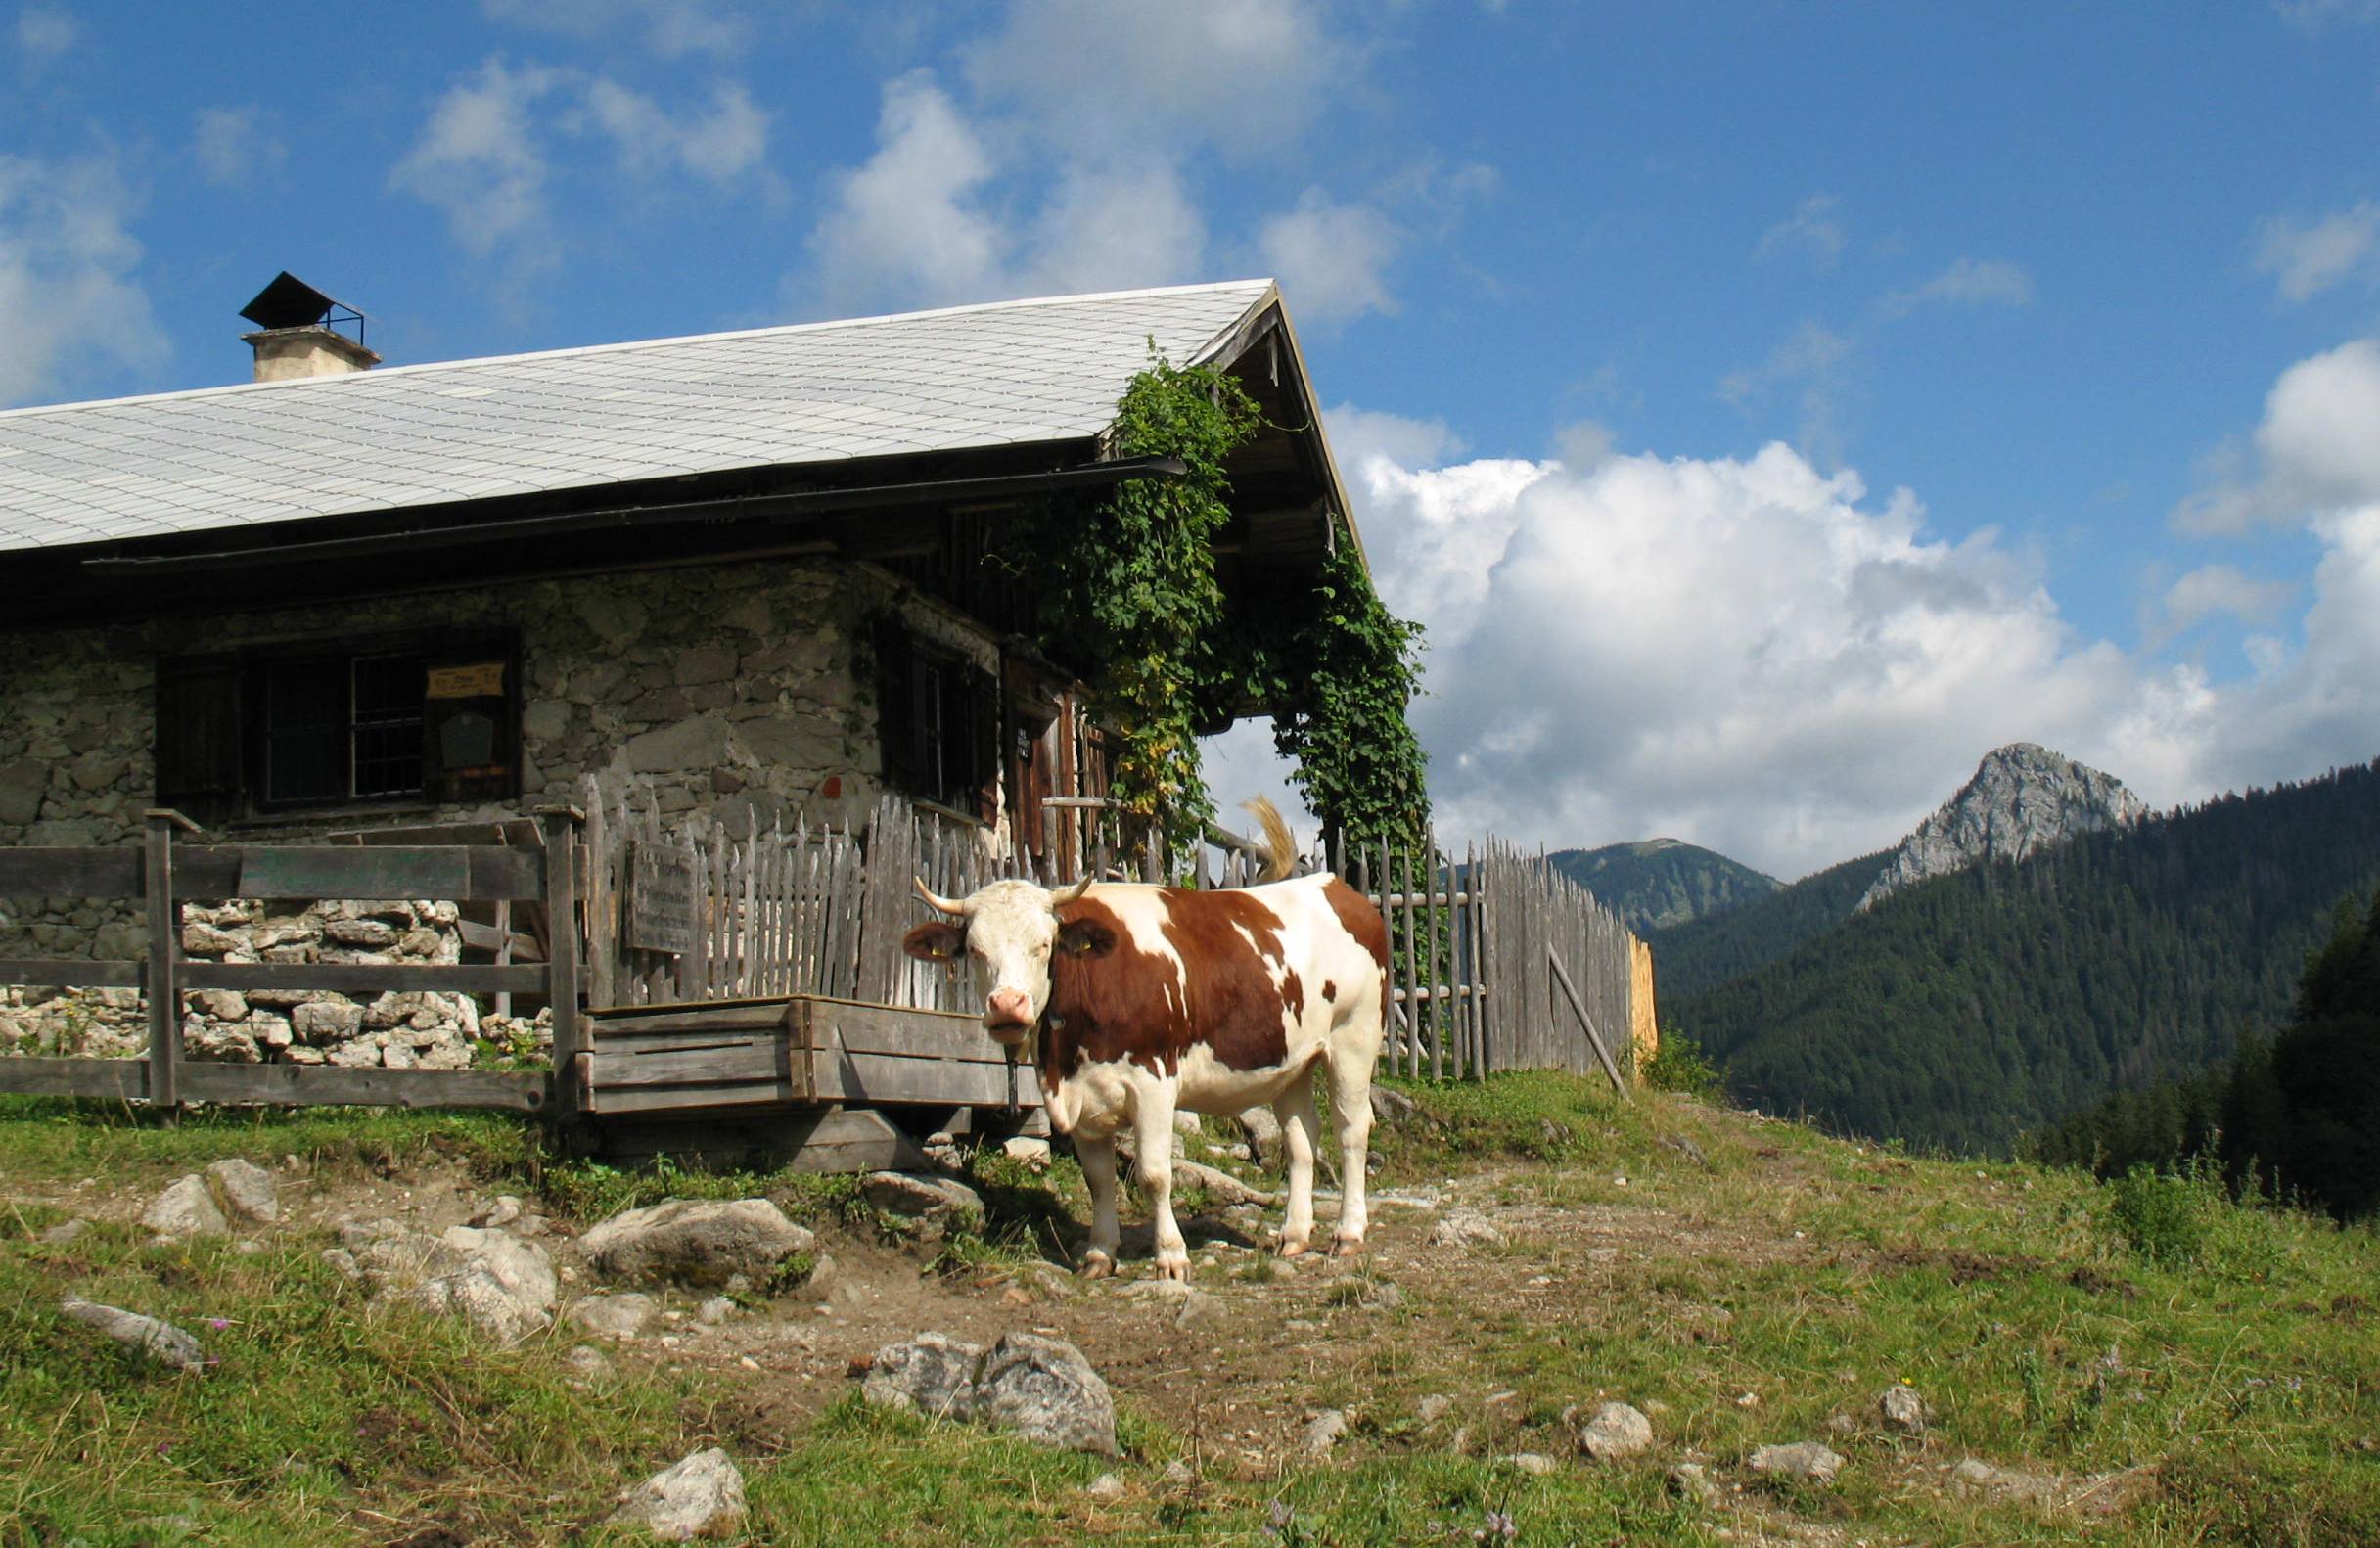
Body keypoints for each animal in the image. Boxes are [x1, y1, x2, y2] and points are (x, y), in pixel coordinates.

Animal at [909, 799, 1390, 1276]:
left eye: (1044, 945)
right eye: (975, 950)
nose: (1008, 1006)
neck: (1065, 1059)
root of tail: (1335, 886)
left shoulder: (1154, 1081)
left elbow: (1155, 1174)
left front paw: (1172, 1257)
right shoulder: (1081, 1097)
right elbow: (1098, 1179)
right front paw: (1100, 1254)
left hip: (1355, 1038)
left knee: (1351, 1130)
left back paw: (1348, 1233)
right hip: (1293, 1061)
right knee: (1301, 1141)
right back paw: (1293, 1236)